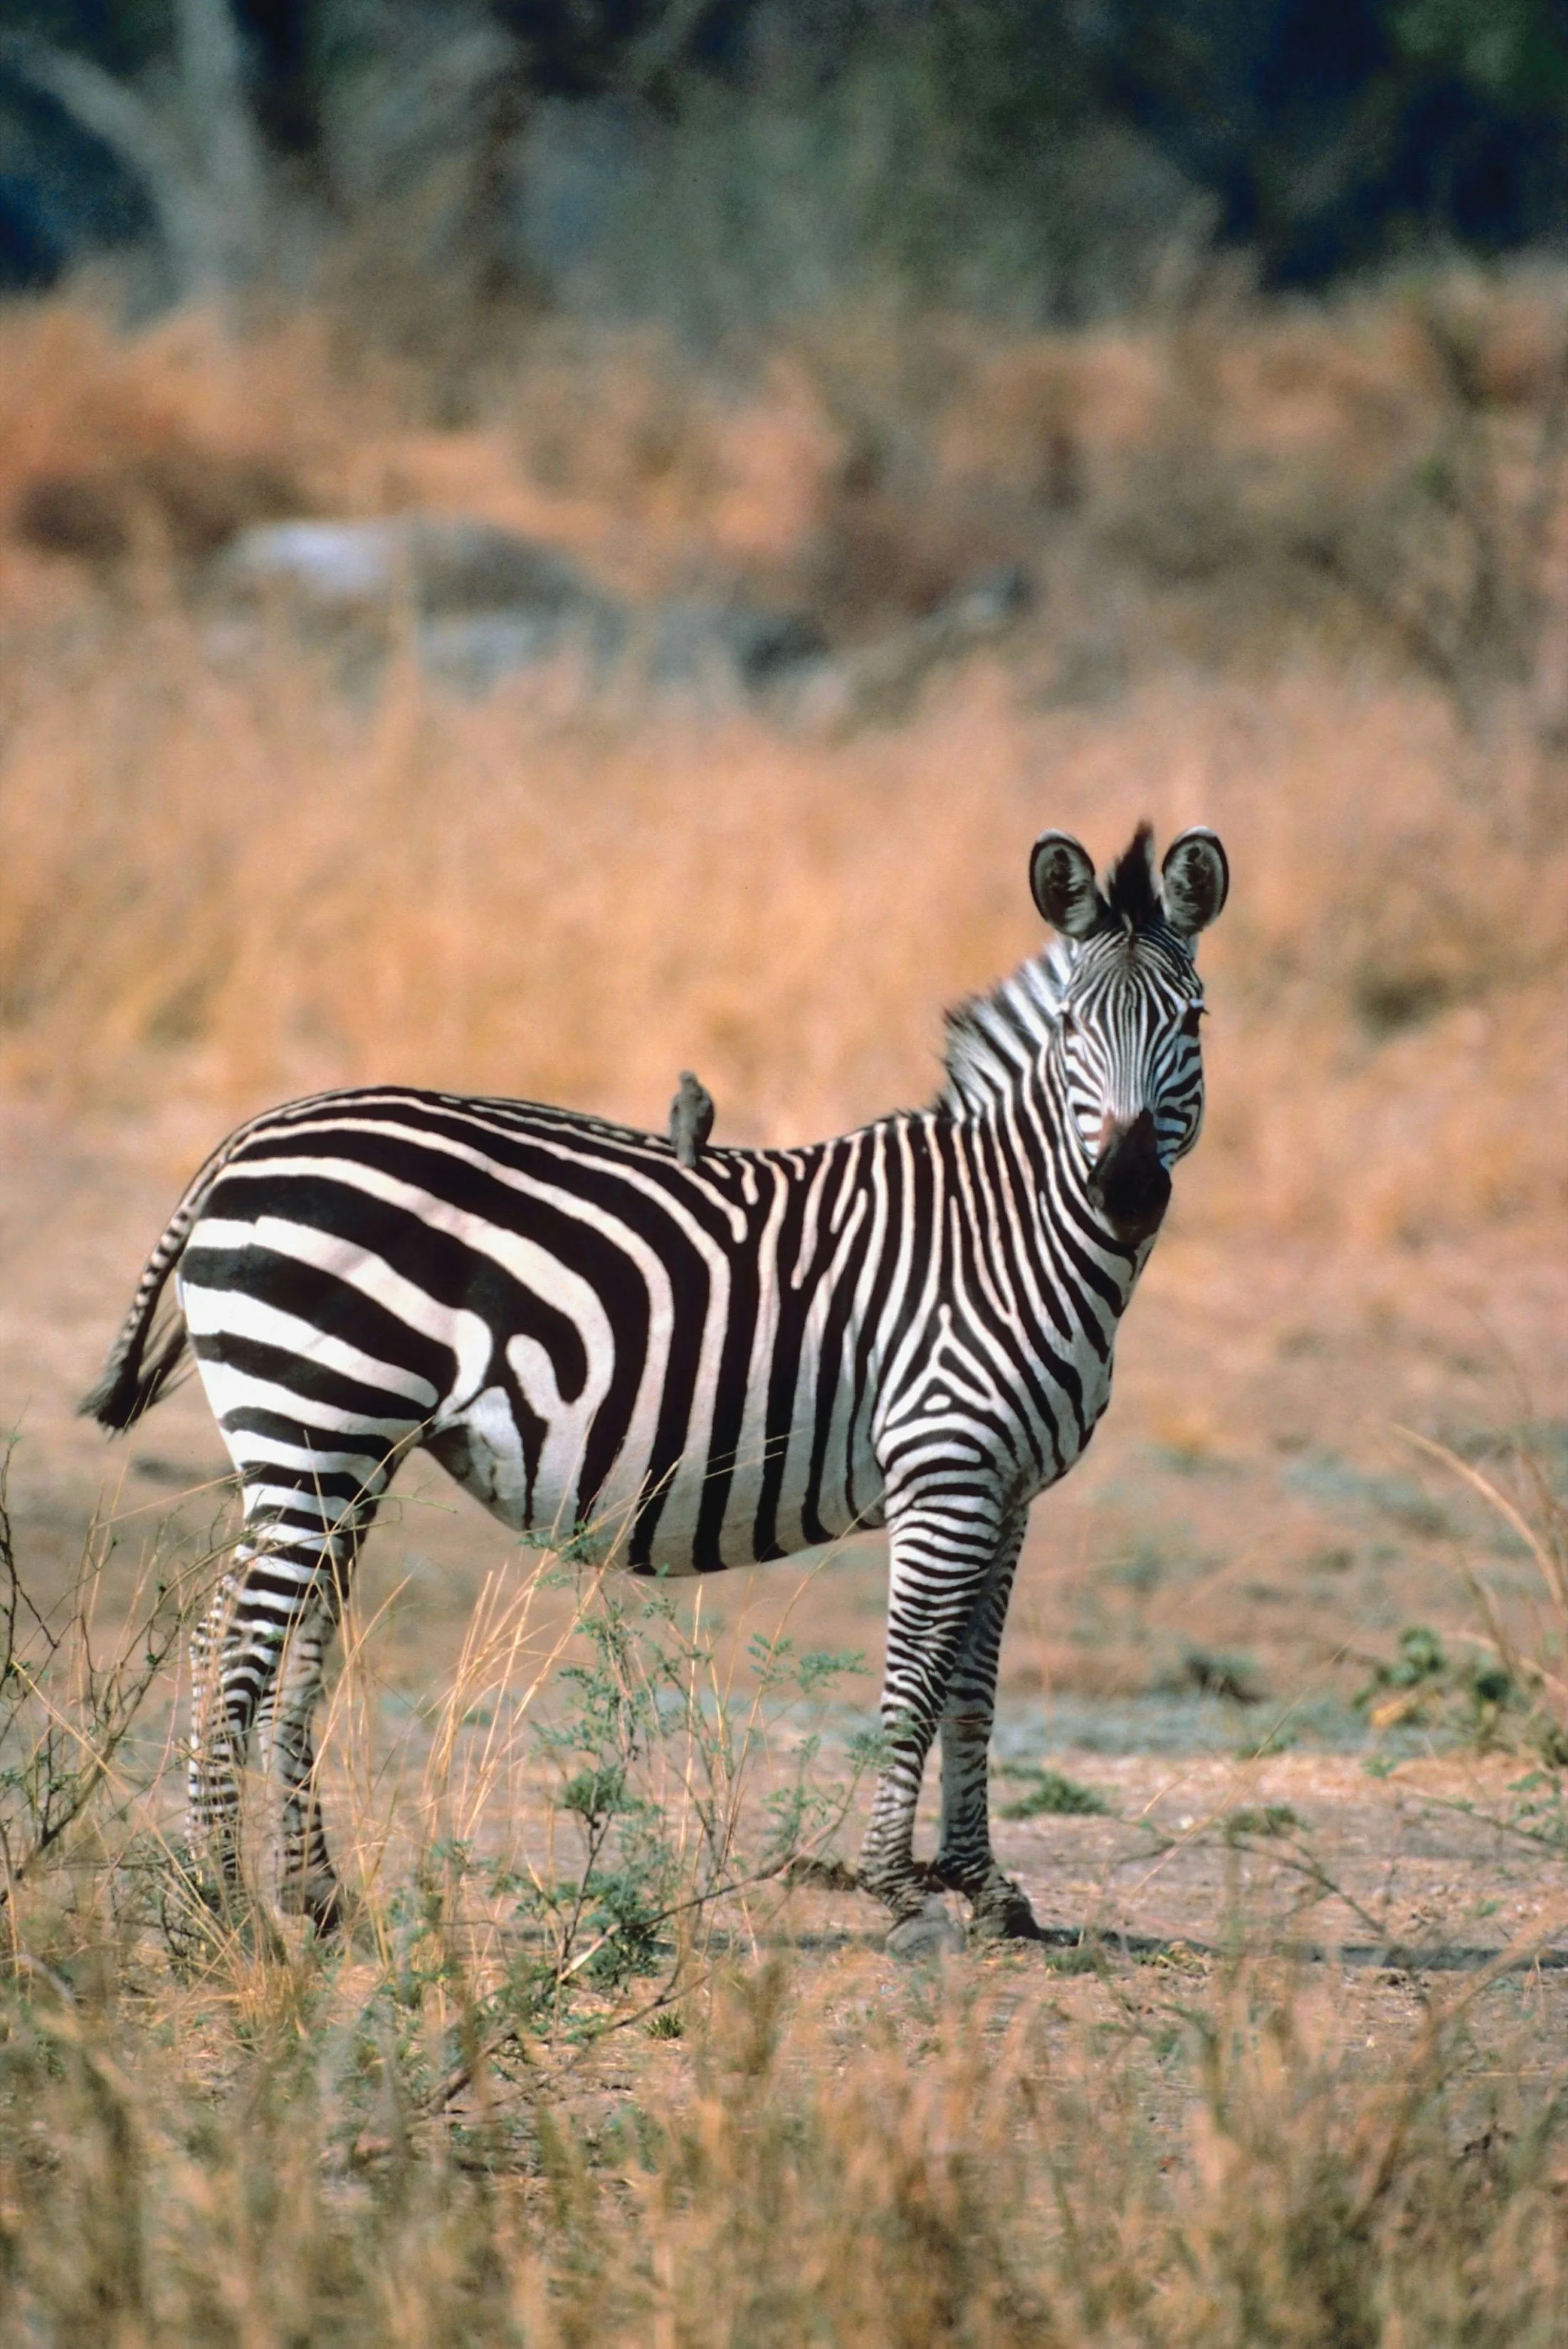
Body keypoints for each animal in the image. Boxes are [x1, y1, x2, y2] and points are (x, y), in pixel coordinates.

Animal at [81, 820, 1227, 1950]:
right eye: (1071, 1027)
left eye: (1193, 1021)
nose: (1127, 1192)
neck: (1011, 1229)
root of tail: (253, 1135)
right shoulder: (945, 1467)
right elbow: (915, 1676)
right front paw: (897, 1891)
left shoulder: (1008, 1489)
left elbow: (973, 1689)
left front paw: (986, 1890)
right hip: (314, 1425)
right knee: (233, 1643)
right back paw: (223, 1910)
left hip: (345, 1450)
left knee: (283, 1642)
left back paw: (308, 1896)